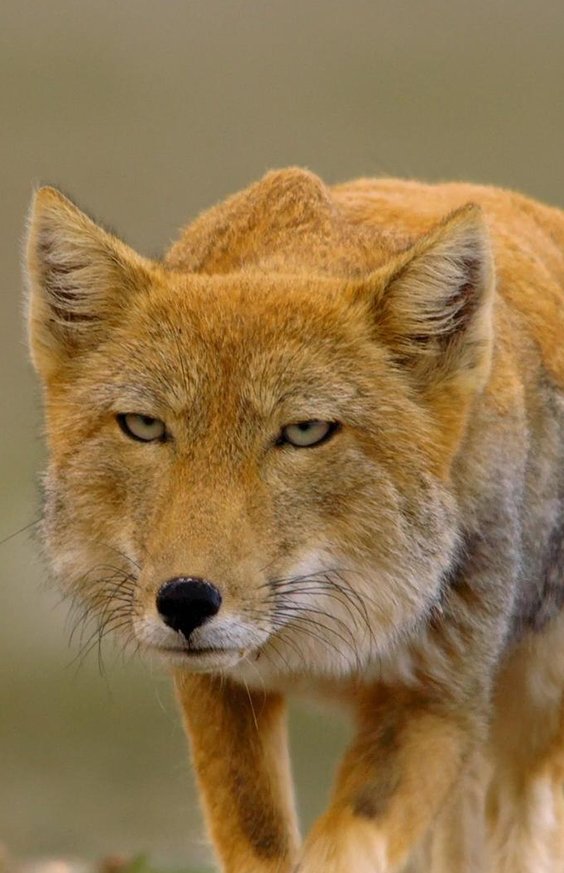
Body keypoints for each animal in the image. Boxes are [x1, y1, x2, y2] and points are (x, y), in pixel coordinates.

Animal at [25, 167, 564, 873]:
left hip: (524, 733)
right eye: (143, 426)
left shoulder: (440, 701)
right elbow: (260, 845)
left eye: (305, 432)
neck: (320, 649)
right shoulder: (217, 689)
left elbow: (346, 845)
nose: (186, 601)